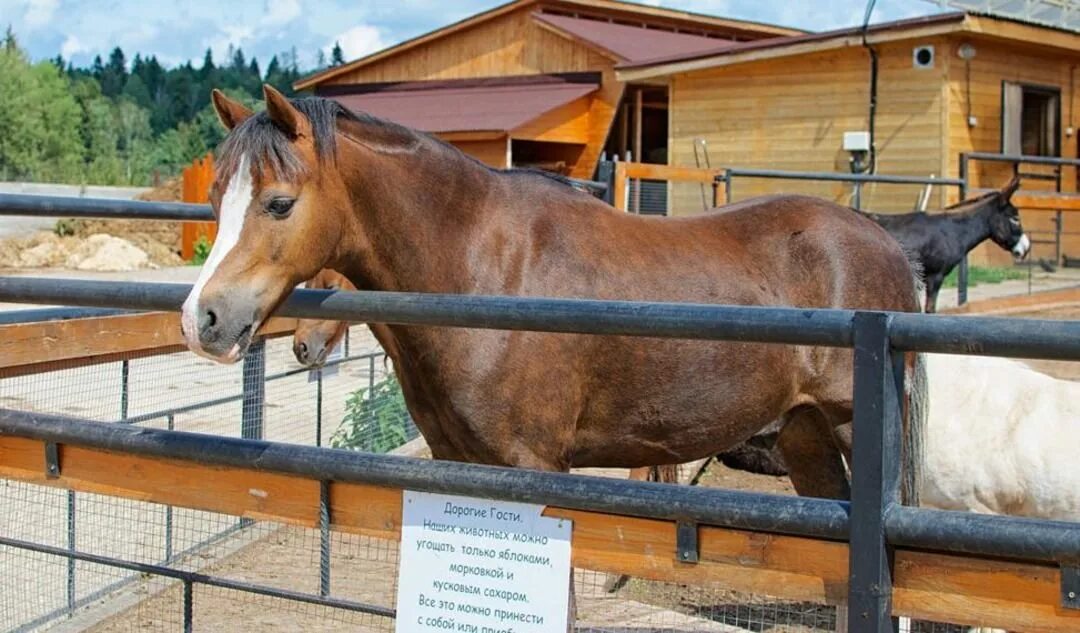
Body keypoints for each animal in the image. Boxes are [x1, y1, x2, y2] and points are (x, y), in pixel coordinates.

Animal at [181, 83, 924, 501]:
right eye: (216, 199)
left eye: (279, 202)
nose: (202, 319)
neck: (484, 269)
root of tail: (881, 238)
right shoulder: (457, 461)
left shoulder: (534, 466)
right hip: (804, 435)